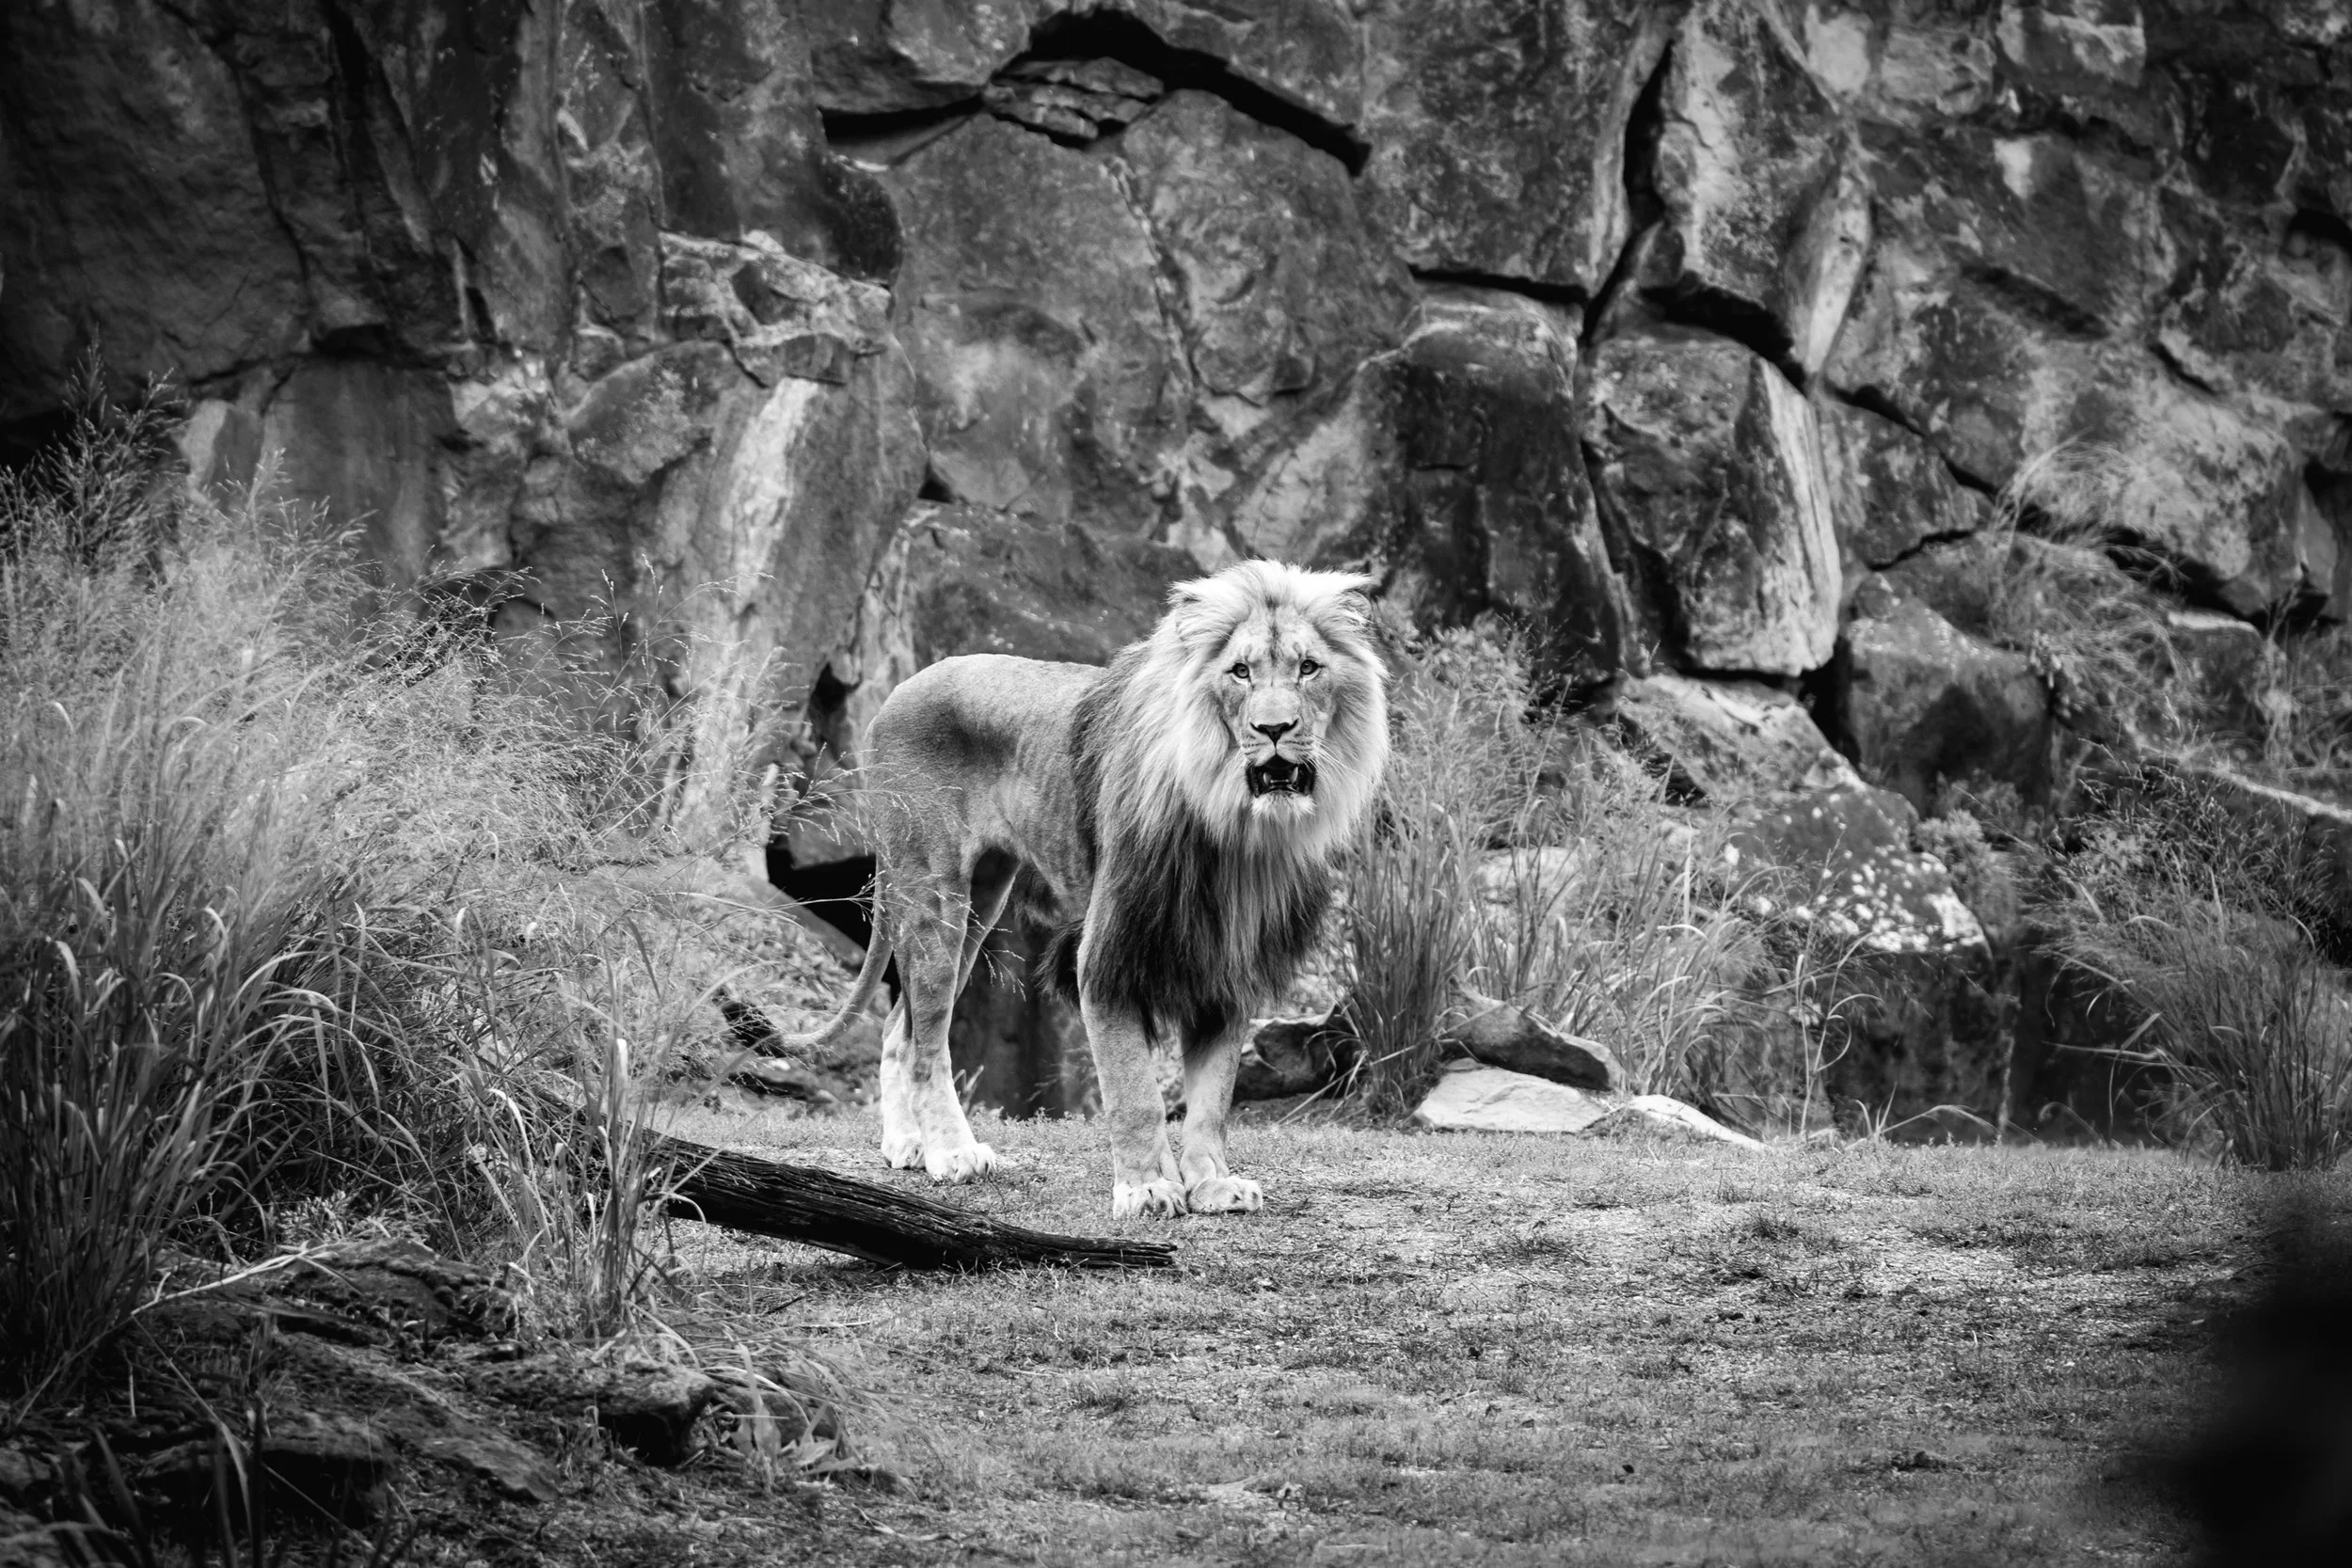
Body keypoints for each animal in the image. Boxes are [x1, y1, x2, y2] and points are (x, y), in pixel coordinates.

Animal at [785, 560, 1389, 1217]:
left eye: (1308, 668)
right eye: (1240, 671)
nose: (1274, 728)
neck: (1235, 828)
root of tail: (896, 691)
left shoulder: (1226, 964)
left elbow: (1212, 1101)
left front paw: (1212, 1184)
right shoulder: (1108, 955)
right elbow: (1134, 1092)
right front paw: (1147, 1188)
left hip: (982, 899)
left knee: (904, 1028)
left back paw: (907, 1146)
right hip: (934, 892)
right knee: (927, 1040)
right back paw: (952, 1153)